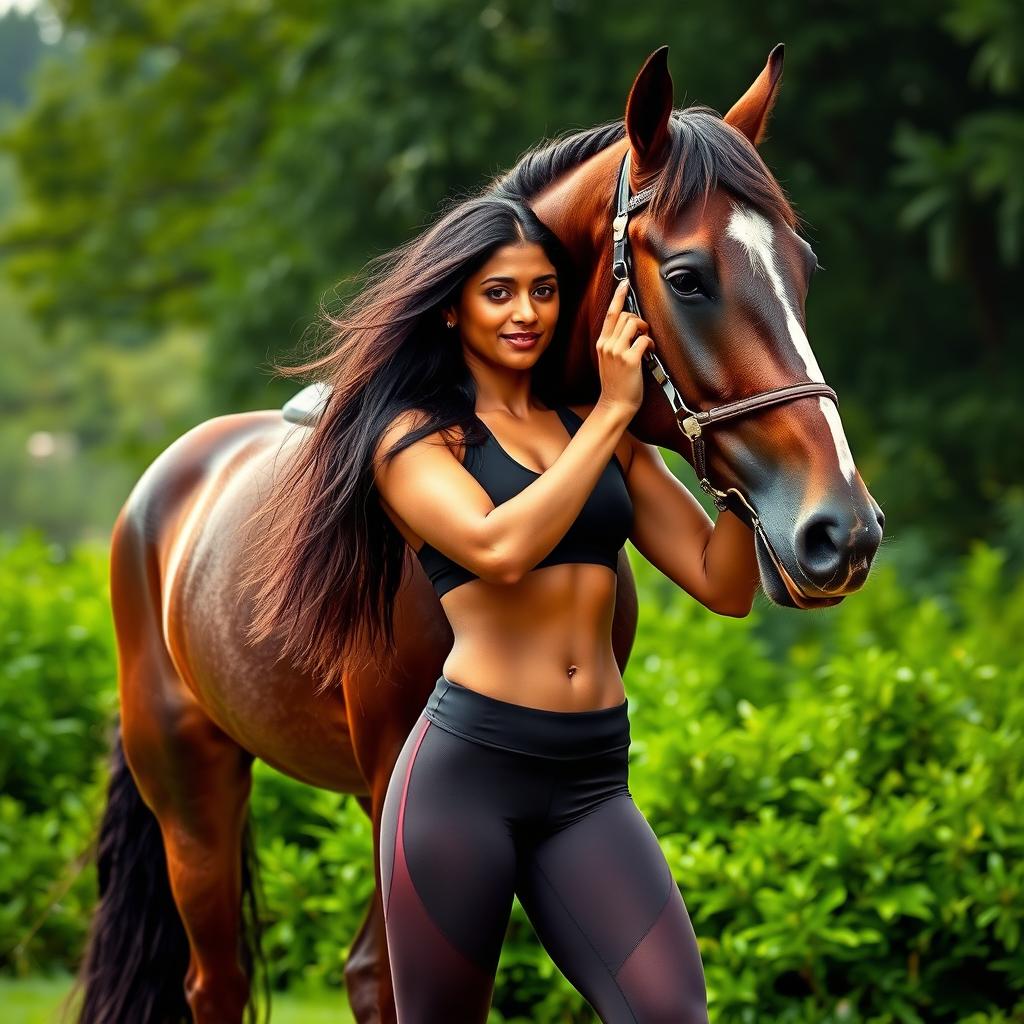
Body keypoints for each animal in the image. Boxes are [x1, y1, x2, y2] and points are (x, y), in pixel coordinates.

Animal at [75, 41, 884, 1024]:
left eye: (802, 270)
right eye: (689, 277)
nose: (841, 530)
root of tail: (161, 492)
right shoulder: (389, 768)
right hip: (197, 786)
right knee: (220, 982)